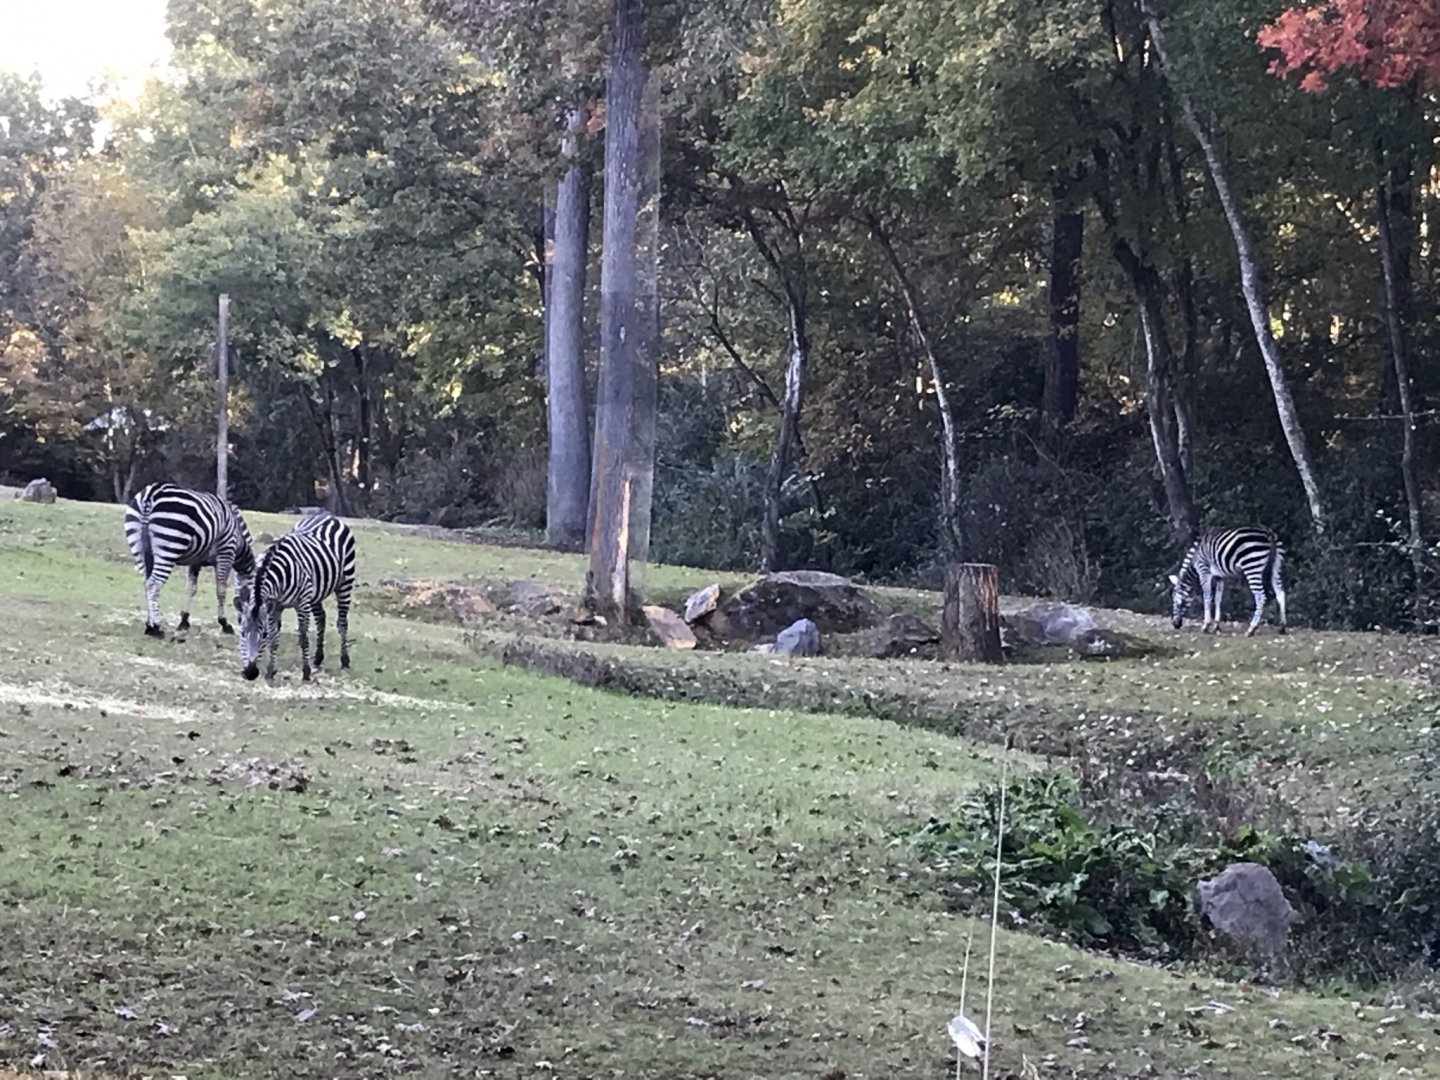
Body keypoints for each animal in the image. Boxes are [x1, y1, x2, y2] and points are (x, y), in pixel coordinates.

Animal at [124, 482, 256, 638]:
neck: (239, 540)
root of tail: (152, 493)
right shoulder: (226, 553)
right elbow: (221, 589)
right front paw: (224, 623)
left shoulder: (195, 561)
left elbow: (191, 588)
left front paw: (184, 621)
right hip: (169, 545)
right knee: (153, 584)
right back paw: (155, 627)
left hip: (138, 546)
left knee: (146, 583)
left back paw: (149, 625)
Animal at [236, 512, 356, 681]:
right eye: (242, 633)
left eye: (263, 635)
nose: (251, 673)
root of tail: (327, 515)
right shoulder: (275, 607)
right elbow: (274, 638)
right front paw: (270, 671)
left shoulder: (302, 603)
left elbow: (304, 637)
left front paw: (306, 672)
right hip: (316, 593)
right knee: (321, 618)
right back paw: (318, 657)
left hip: (345, 583)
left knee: (342, 622)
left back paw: (344, 660)